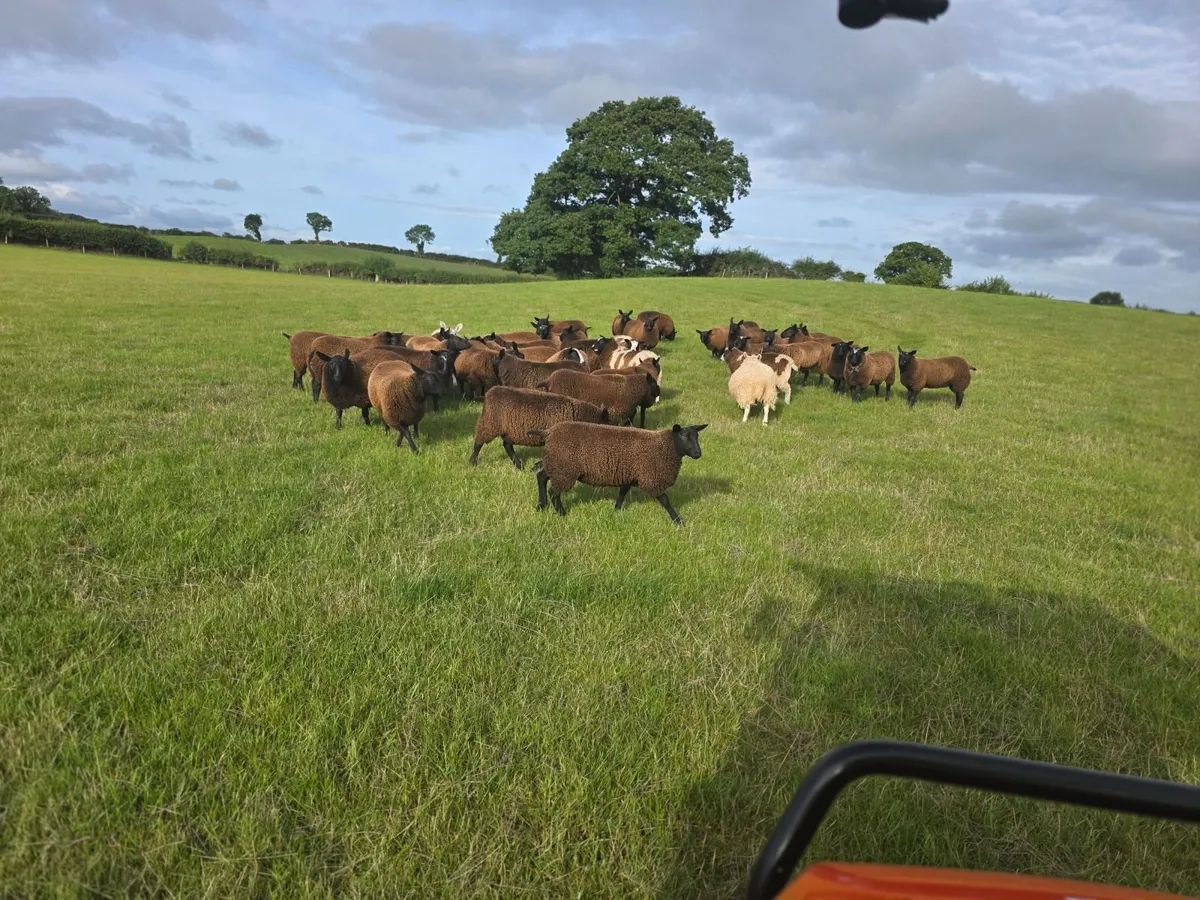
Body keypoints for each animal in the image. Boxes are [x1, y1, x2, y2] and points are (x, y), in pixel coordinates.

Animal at [469, 386, 611, 470]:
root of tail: (487, 394)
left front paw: (536, 466)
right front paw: (537, 467)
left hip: (508, 430)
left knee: (507, 445)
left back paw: (519, 465)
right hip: (490, 423)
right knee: (479, 441)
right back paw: (473, 461)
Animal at [533, 422, 708, 525]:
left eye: (697, 436)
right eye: (683, 436)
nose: (698, 454)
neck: (666, 447)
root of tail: (549, 431)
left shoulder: (629, 473)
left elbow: (623, 491)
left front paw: (616, 509)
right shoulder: (650, 477)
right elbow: (665, 500)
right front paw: (678, 520)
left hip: (555, 464)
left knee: (541, 477)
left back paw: (541, 505)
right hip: (564, 468)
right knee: (553, 491)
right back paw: (562, 513)